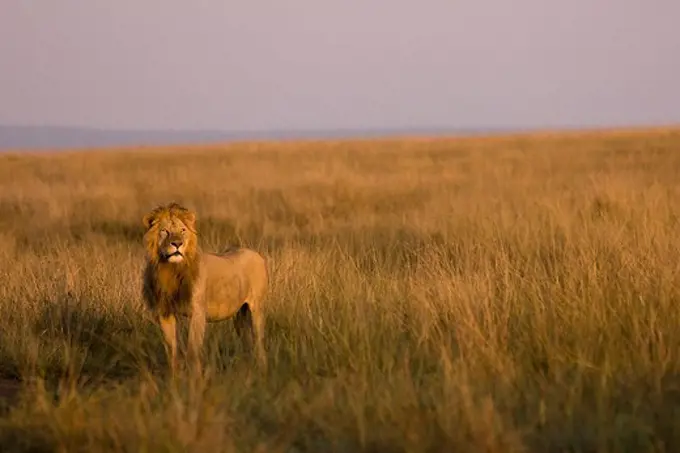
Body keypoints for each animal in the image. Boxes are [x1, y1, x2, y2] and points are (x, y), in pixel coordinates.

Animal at [141, 203, 268, 372]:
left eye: (183, 230)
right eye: (165, 231)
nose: (177, 244)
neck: (171, 270)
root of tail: (256, 253)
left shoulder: (198, 312)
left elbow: (192, 350)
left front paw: (195, 376)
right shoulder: (165, 312)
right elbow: (172, 350)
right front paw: (174, 376)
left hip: (257, 308)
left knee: (259, 343)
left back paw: (262, 370)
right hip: (240, 315)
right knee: (246, 341)